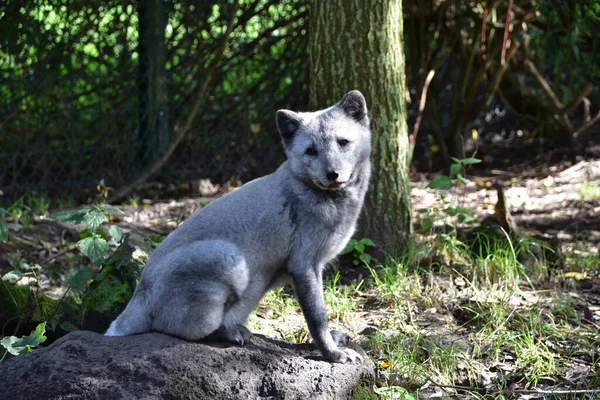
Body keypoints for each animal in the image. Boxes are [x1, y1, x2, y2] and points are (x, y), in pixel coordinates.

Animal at [105, 90, 372, 362]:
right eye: (311, 151)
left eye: (342, 142)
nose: (332, 174)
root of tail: (138, 294)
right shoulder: (304, 264)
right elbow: (317, 318)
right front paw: (333, 354)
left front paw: (333, 341)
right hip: (230, 259)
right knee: (175, 330)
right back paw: (231, 333)